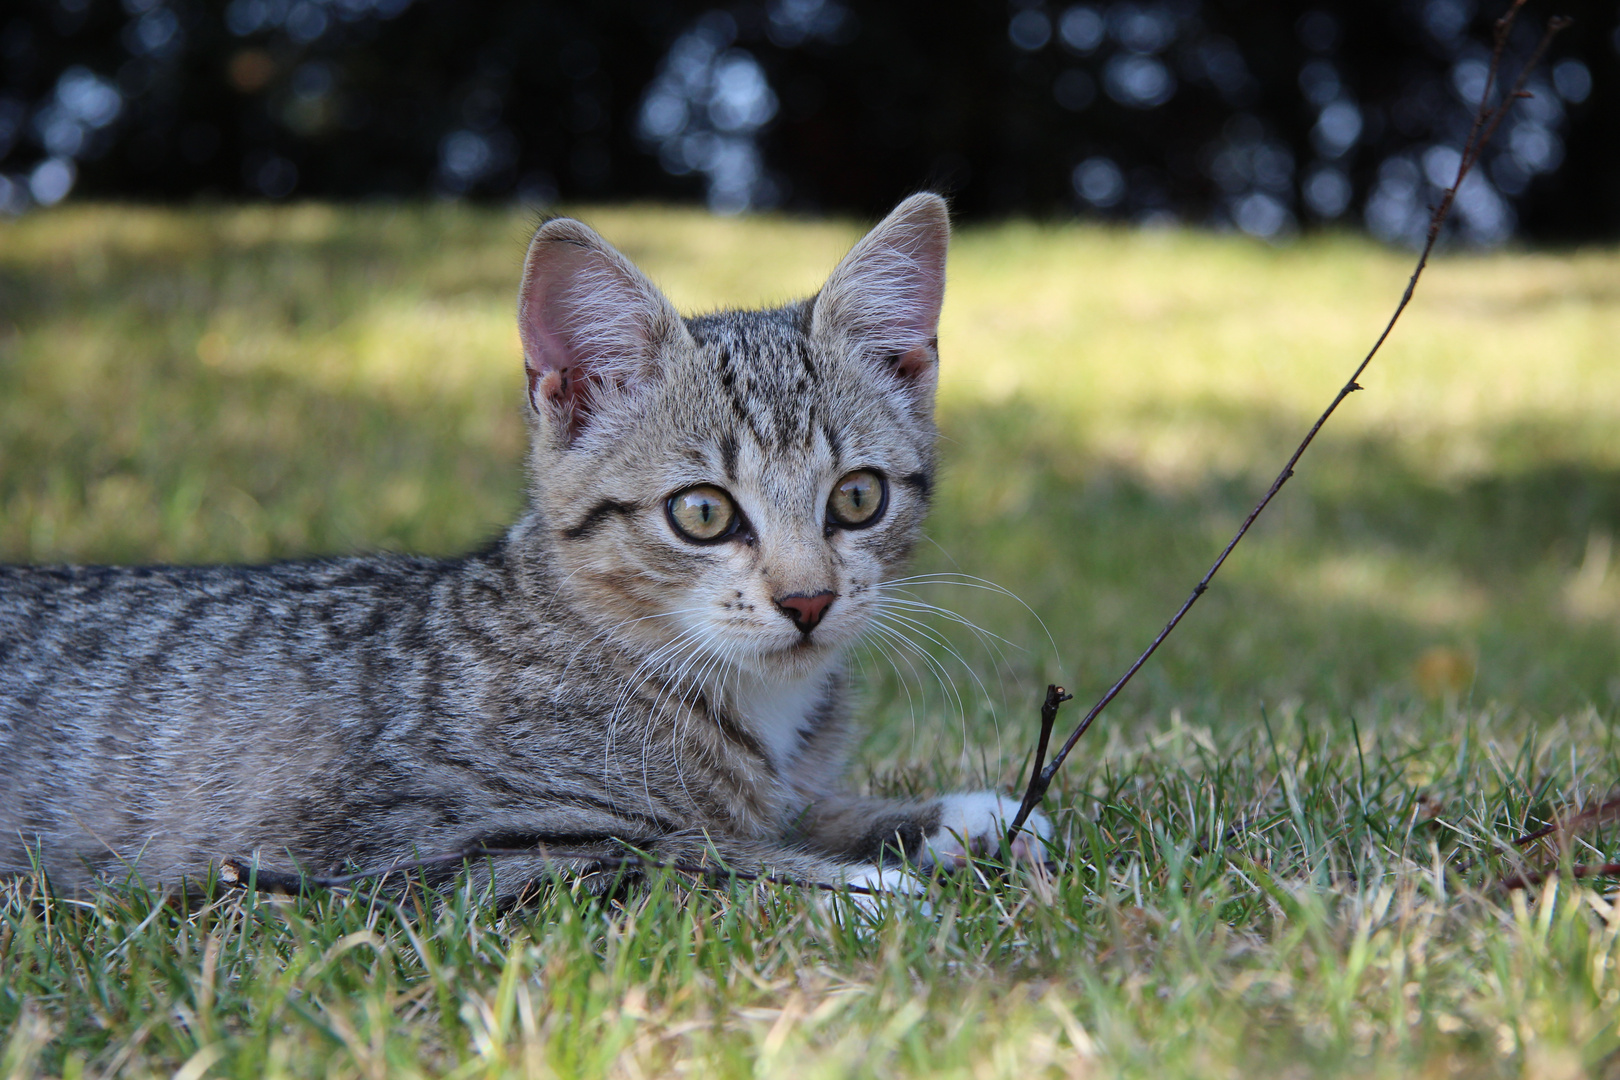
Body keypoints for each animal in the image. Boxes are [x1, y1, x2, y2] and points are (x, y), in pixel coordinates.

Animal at [0, 196, 1049, 906]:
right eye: (703, 514)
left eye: (858, 498)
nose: (808, 601)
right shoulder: (428, 859)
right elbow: (684, 857)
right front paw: (863, 888)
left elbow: (789, 812)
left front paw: (950, 821)